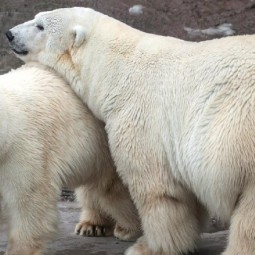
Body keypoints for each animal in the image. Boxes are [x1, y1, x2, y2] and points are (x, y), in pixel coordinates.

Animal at [0, 63, 140, 255]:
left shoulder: (22, 149)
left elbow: (28, 200)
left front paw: (19, 249)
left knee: (113, 188)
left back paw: (127, 229)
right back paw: (93, 225)